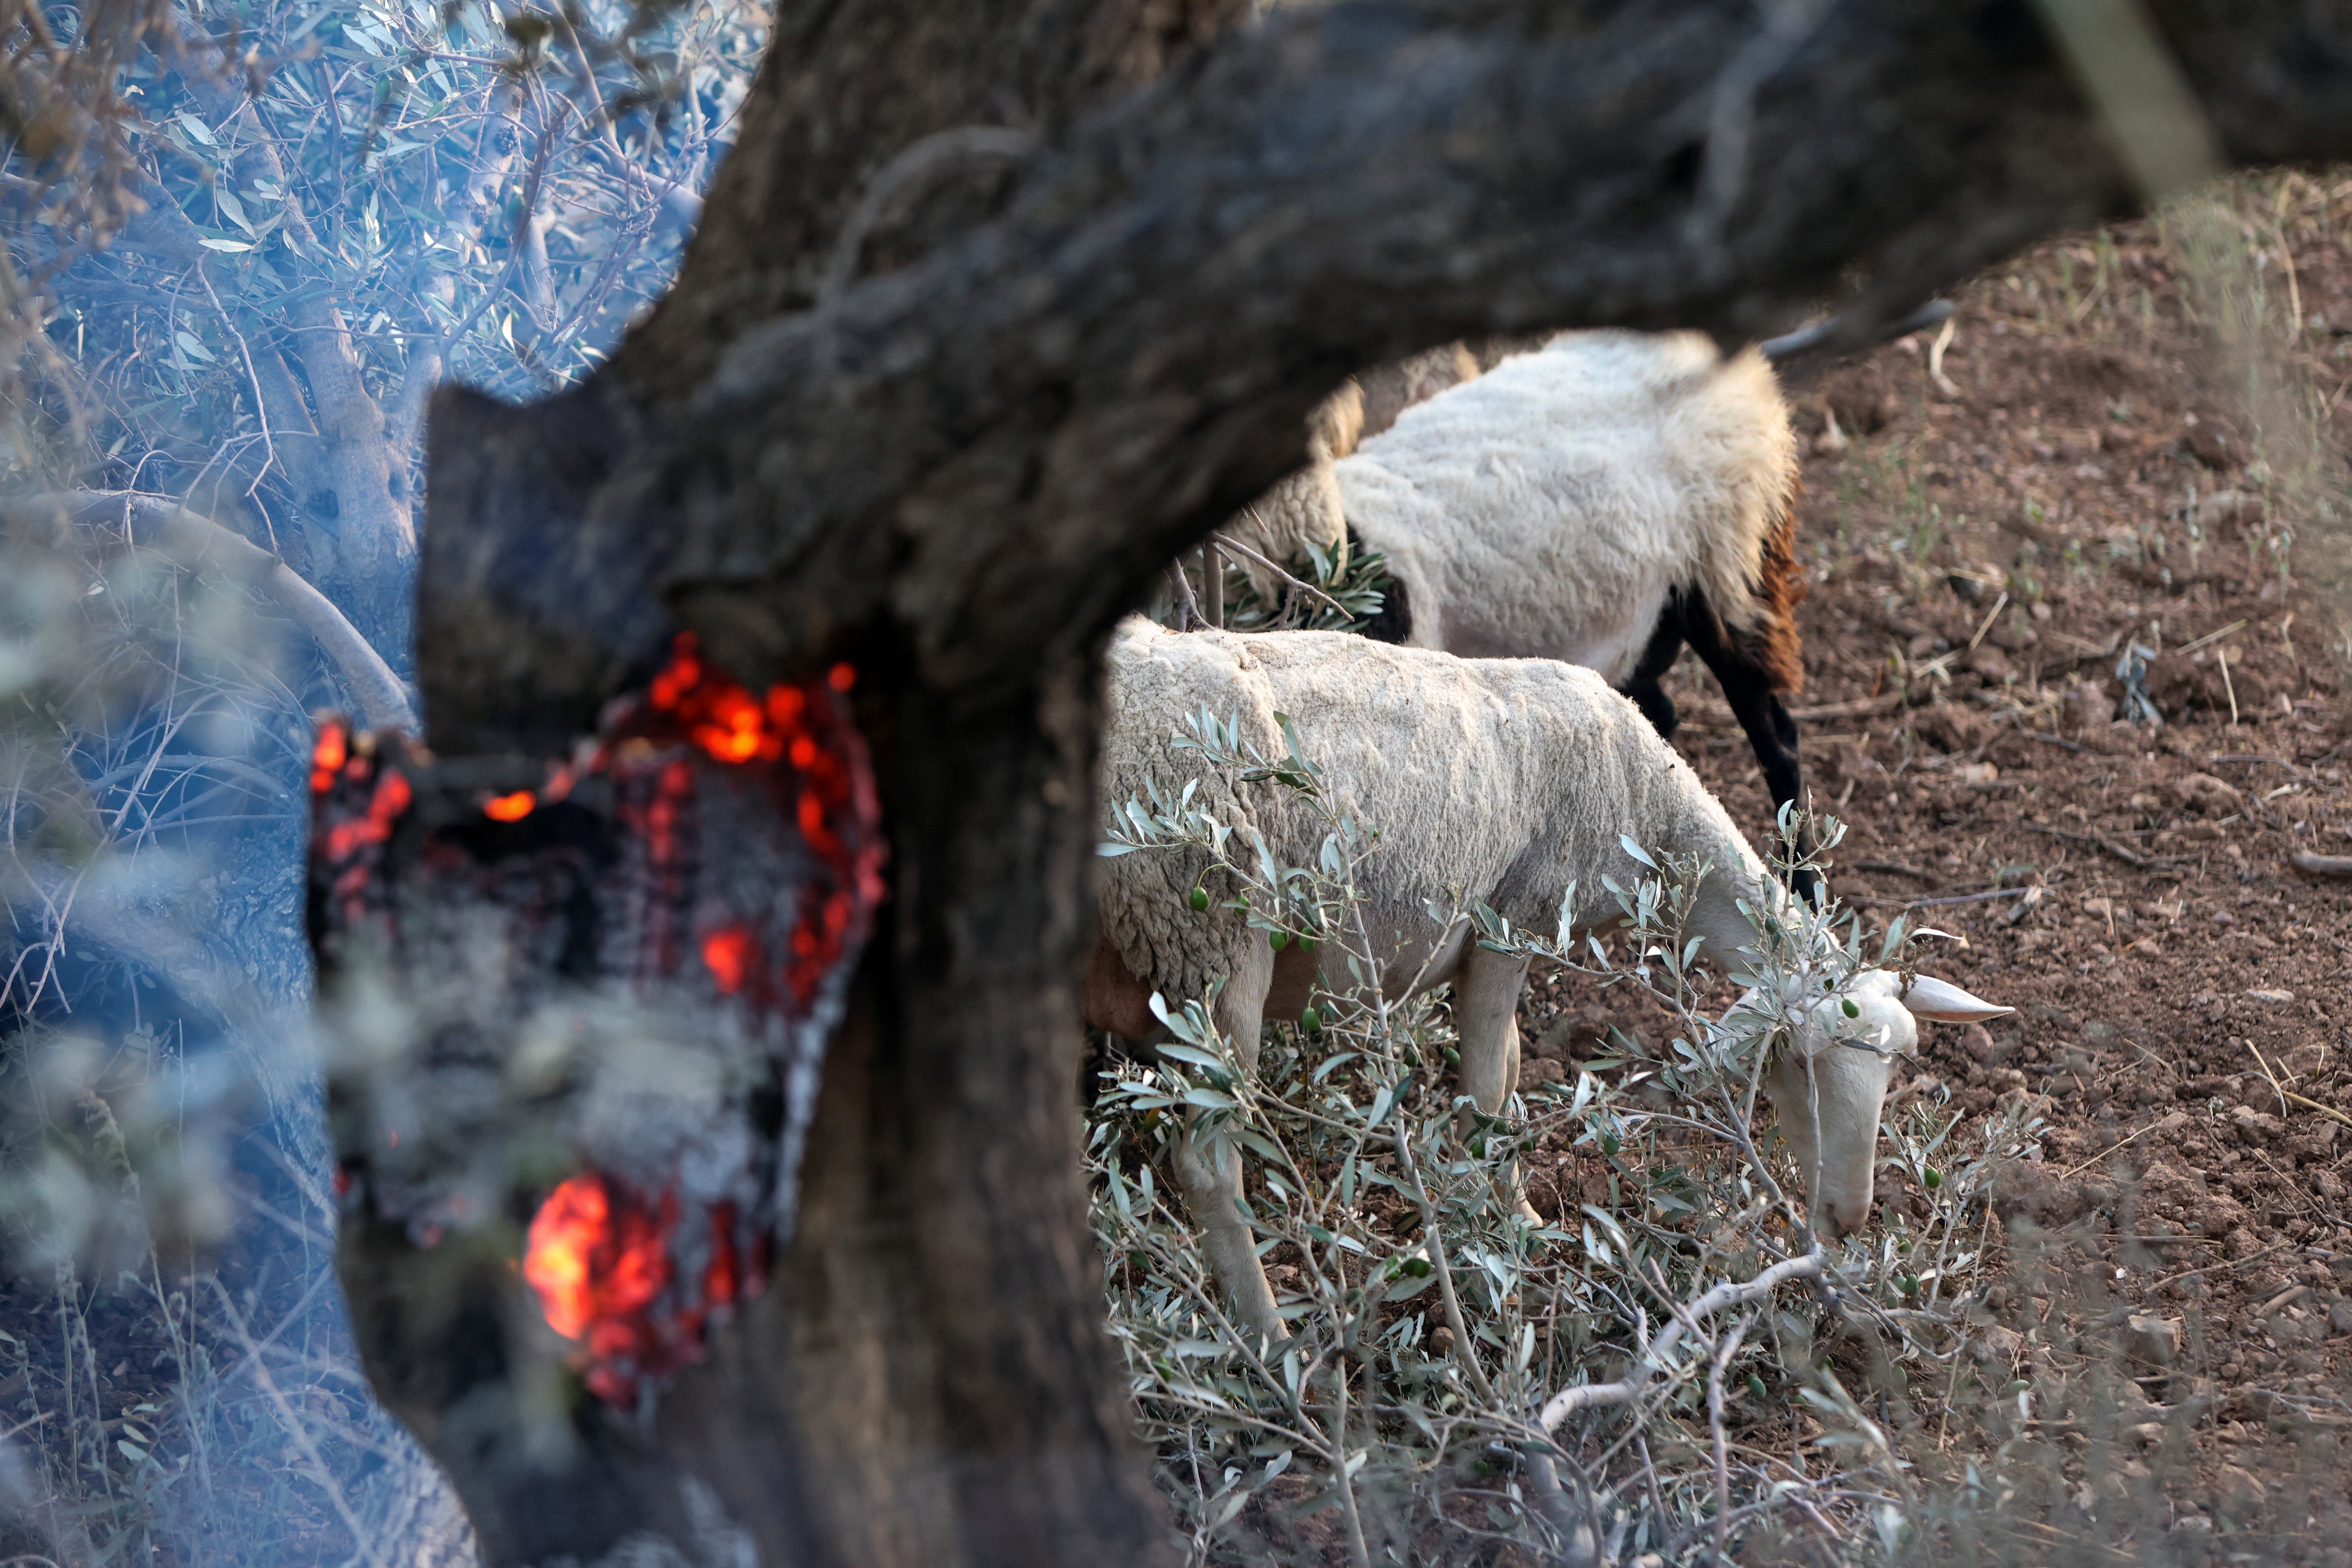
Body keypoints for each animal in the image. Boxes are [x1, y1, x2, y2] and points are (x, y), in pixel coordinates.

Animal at [1087, 619, 2006, 1341]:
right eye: (1801, 1064)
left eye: (1898, 1067)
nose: (1848, 1217)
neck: (1649, 807)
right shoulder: (1514, 923)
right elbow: (1491, 1086)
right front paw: (1509, 1227)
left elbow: (1515, 1064)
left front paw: (1518, 1209)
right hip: (1210, 942)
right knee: (1209, 1164)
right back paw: (1271, 1336)